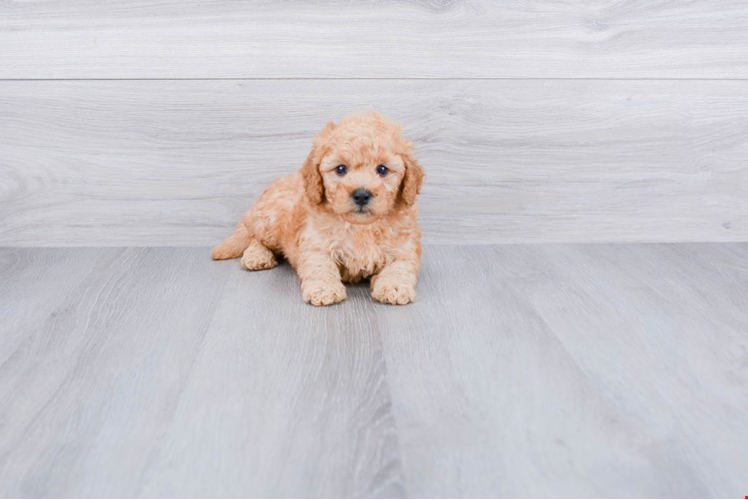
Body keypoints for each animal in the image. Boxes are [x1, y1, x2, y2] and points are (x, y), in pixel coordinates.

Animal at [213, 112, 424, 306]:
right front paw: (325, 289)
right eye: (340, 169)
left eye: (382, 169)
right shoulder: (316, 243)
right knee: (255, 239)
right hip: (269, 220)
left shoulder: (404, 248)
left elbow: (398, 268)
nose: (361, 195)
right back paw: (257, 256)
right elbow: (321, 266)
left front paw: (393, 287)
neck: (360, 227)